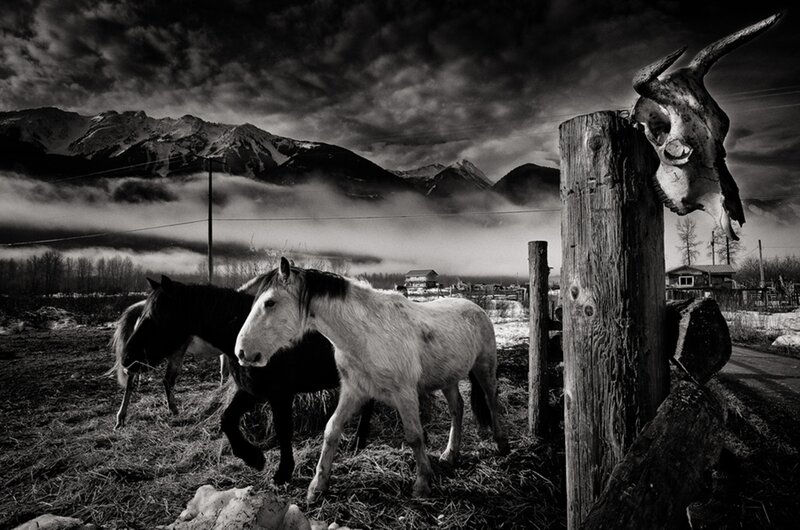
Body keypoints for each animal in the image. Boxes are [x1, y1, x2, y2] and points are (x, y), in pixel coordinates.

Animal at [235, 258, 509, 501]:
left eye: (270, 302)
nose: (242, 352)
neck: (365, 334)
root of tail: (477, 308)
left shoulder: (405, 394)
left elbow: (414, 435)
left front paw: (422, 484)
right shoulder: (354, 391)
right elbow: (331, 430)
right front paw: (317, 487)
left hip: (484, 368)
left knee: (492, 401)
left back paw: (502, 444)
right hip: (448, 379)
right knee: (457, 409)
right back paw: (450, 454)